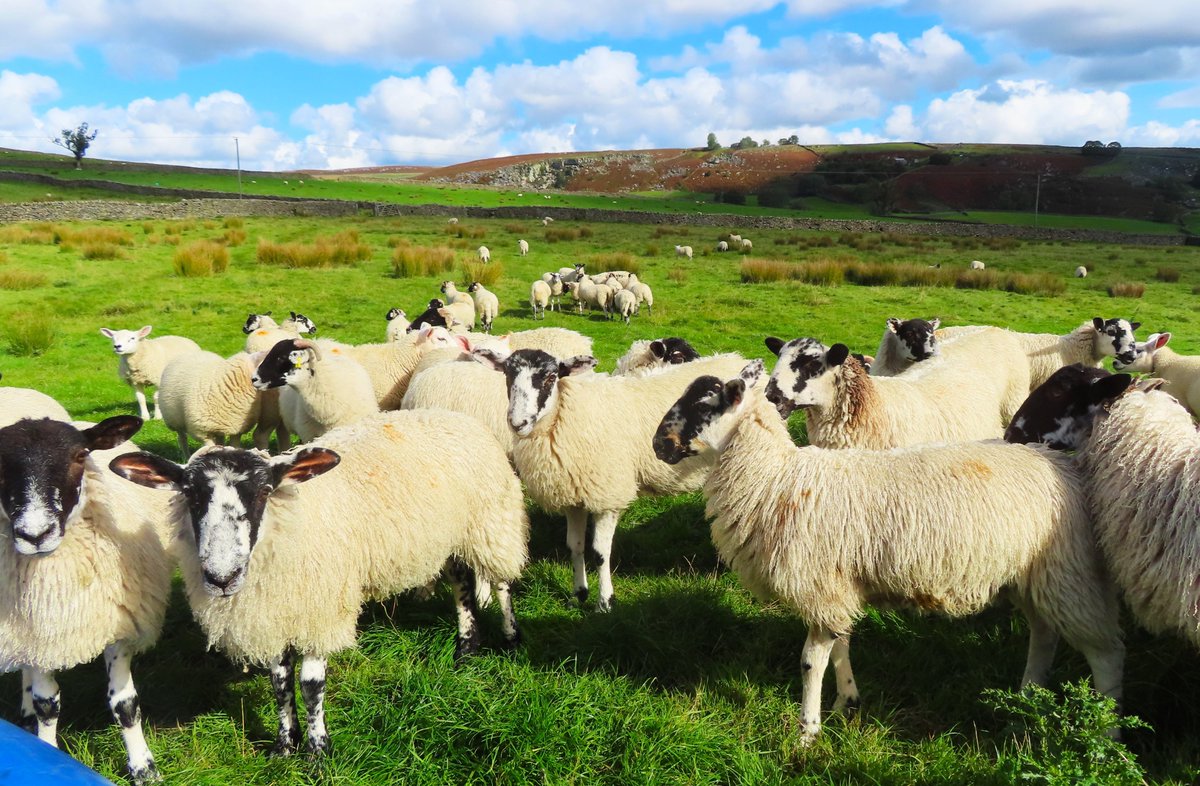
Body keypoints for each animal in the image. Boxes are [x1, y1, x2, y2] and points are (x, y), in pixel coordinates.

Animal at [0, 416, 173, 784]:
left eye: (80, 455)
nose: (35, 535)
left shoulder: (118, 626)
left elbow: (125, 704)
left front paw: (144, 767)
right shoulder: (40, 630)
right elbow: (47, 703)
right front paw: (46, 752)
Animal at [109, 408, 529, 757]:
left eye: (265, 491)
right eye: (190, 494)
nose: (221, 578)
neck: (289, 521)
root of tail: (450, 413)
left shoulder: (319, 609)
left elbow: (311, 685)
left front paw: (317, 750)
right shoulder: (274, 613)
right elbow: (279, 682)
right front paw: (285, 745)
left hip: (492, 520)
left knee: (502, 580)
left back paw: (509, 636)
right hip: (455, 532)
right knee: (461, 582)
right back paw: (467, 648)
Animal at [471, 347, 748, 610]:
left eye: (551, 377)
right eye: (508, 375)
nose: (518, 423)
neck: (564, 417)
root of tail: (738, 358)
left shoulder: (607, 496)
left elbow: (600, 552)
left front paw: (605, 602)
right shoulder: (573, 497)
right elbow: (575, 546)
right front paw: (578, 595)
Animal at [652, 362, 1123, 745]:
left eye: (706, 402)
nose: (659, 445)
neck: (775, 479)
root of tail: (1066, 466)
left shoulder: (821, 586)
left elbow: (810, 663)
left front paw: (807, 732)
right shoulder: (839, 587)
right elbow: (840, 645)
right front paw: (846, 702)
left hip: (1069, 570)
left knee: (1107, 653)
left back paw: (1107, 731)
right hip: (1033, 577)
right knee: (1044, 635)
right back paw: (1027, 696)